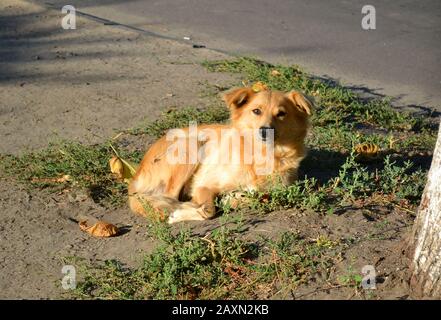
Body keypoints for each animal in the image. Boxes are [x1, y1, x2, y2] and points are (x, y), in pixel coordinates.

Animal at [127, 86, 312, 224]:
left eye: (281, 113)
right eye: (256, 111)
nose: (265, 131)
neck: (262, 154)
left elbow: (260, 196)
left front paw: (232, 199)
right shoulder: (203, 185)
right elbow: (208, 210)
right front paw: (182, 213)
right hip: (191, 145)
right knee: (169, 198)